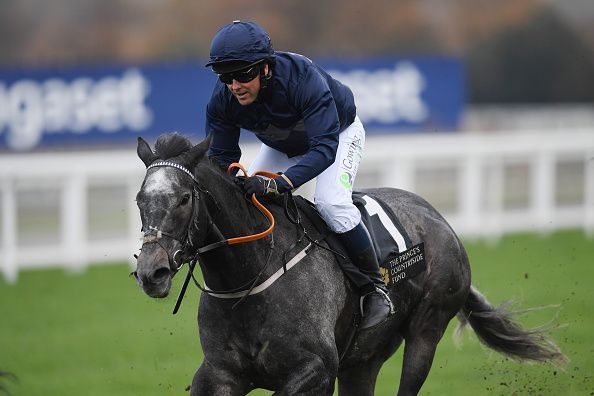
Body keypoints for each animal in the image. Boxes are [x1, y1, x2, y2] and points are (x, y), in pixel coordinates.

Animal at [132, 134, 560, 396]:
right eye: (139, 199)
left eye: (184, 198)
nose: (151, 273)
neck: (250, 281)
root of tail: (441, 221)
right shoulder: (219, 373)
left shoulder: (316, 371)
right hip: (363, 359)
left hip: (426, 331)